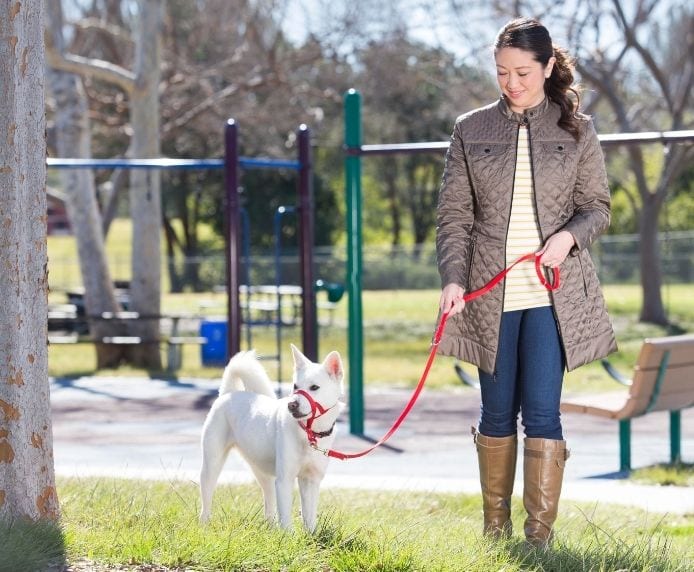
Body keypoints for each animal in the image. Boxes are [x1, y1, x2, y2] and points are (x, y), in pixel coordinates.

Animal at [198, 344, 346, 532]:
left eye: (314, 387)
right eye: (295, 386)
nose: (292, 405)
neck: (308, 432)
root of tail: (229, 393)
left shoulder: (311, 480)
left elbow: (309, 515)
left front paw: (311, 535)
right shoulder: (285, 480)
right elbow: (286, 517)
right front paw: (288, 536)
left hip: (263, 474)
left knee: (269, 504)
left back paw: (270, 527)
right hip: (212, 466)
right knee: (206, 499)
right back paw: (204, 524)